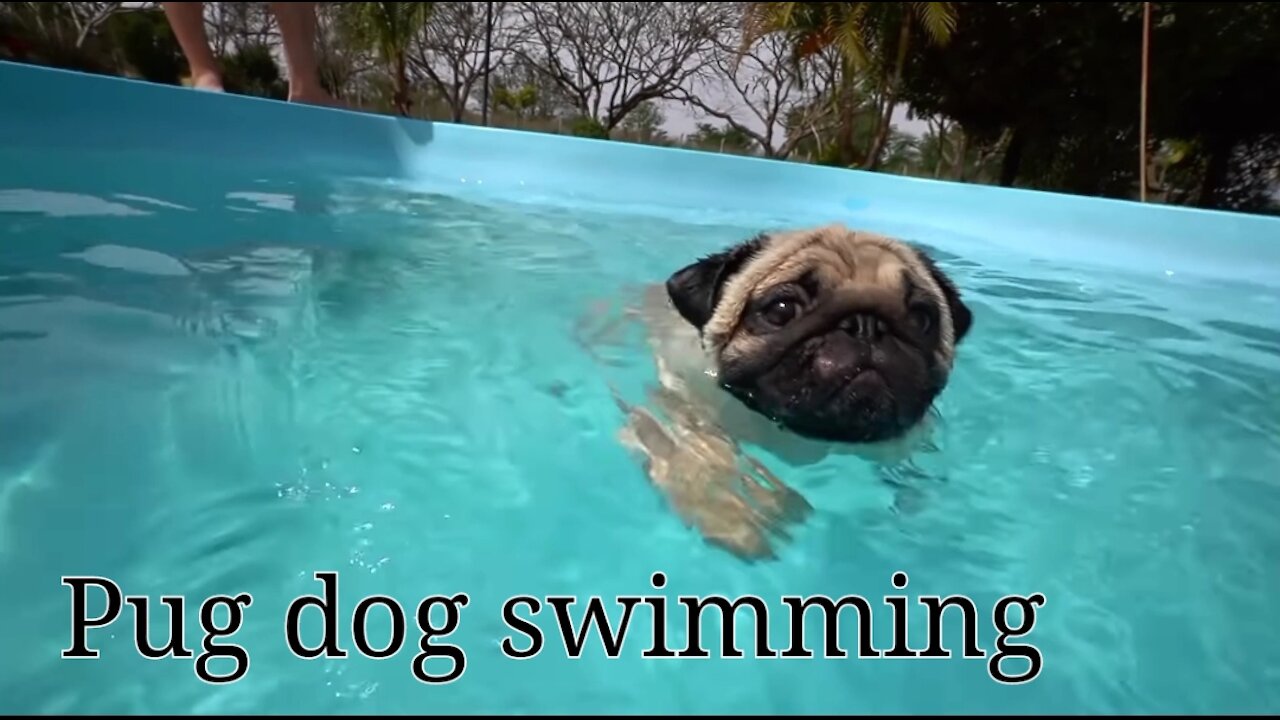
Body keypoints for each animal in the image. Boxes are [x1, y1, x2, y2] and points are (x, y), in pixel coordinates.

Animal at [578, 221, 967, 558]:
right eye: (782, 309)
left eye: (922, 318)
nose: (865, 324)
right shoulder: (685, 407)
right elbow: (705, 458)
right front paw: (730, 514)